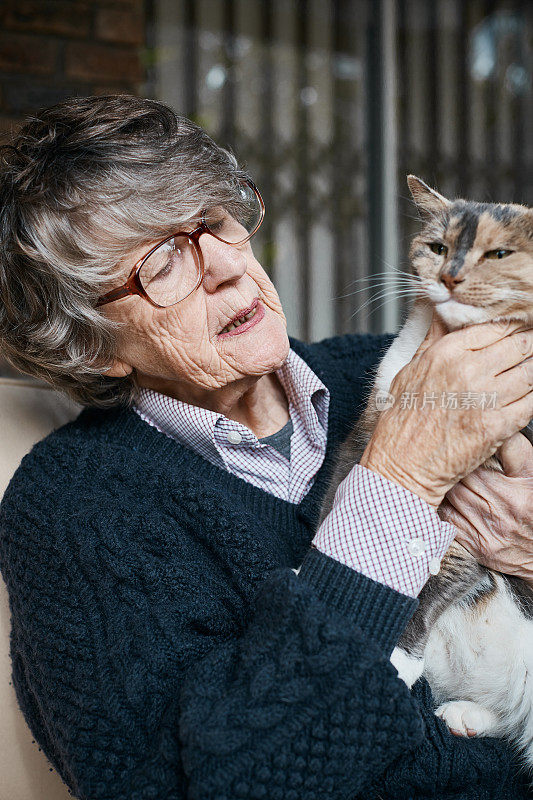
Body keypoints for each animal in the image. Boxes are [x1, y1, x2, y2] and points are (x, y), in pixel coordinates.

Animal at [320, 175, 532, 776]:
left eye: (499, 254)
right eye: (438, 247)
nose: (450, 276)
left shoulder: (467, 526)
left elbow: (439, 576)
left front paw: (395, 656)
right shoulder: (370, 435)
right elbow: (342, 499)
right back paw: (467, 715)